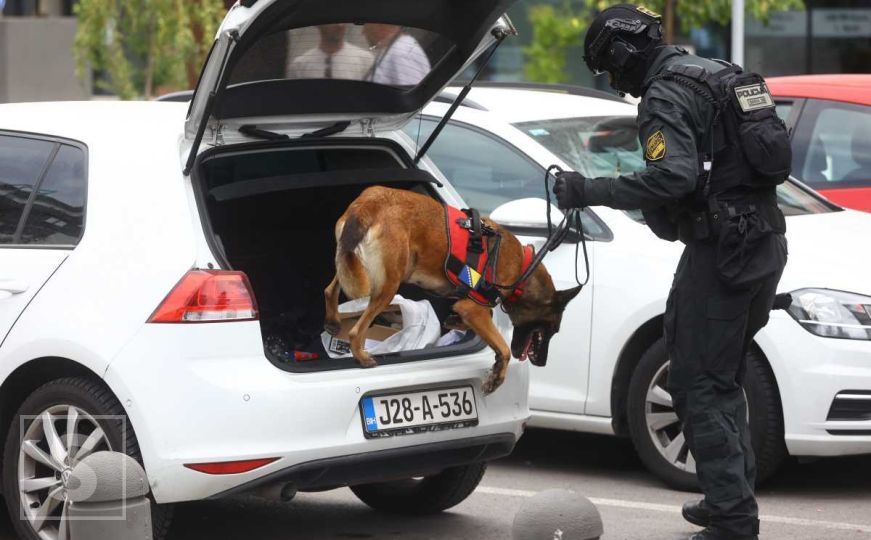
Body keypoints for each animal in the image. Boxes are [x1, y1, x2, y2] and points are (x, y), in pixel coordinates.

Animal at [324, 186, 584, 392]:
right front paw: (497, 378)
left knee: (329, 289)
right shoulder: (473, 308)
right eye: (553, 329)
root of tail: (369, 202)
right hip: (387, 286)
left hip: (351, 264)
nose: (542, 362)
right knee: (356, 330)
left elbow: (485, 330)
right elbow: (504, 348)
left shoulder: (472, 308)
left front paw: (456, 324)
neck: (523, 269)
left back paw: (333, 321)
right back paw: (361, 356)